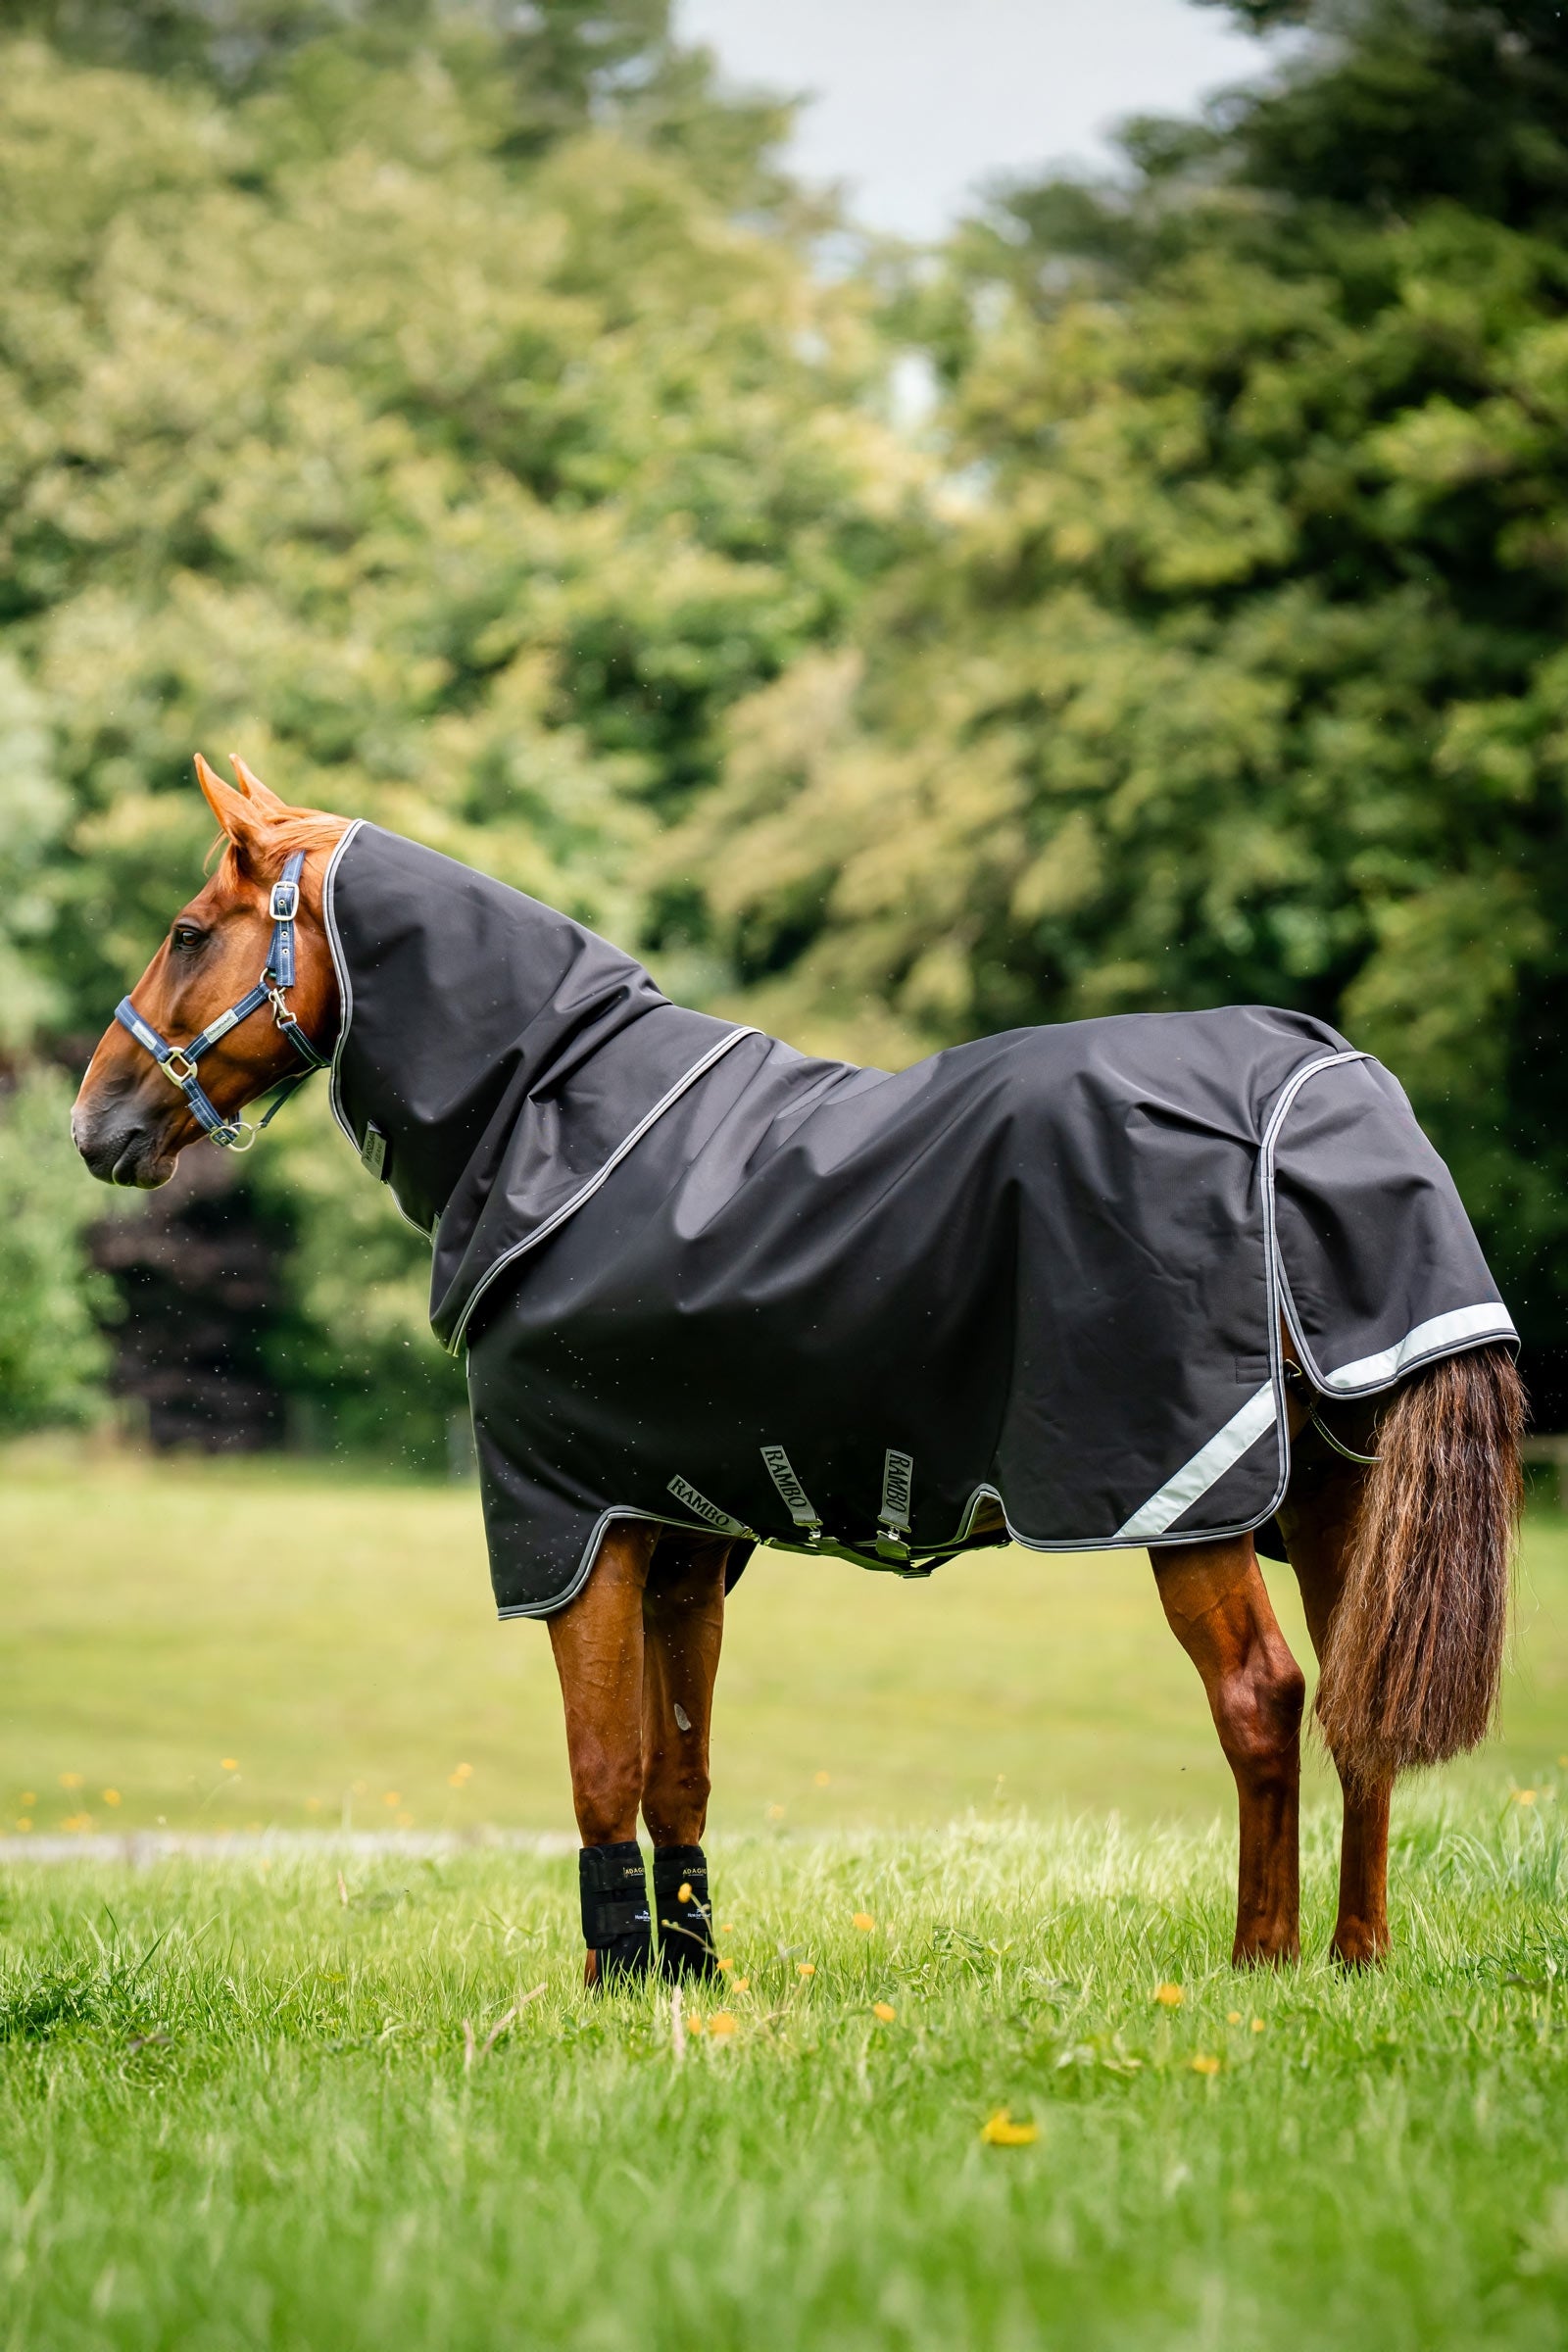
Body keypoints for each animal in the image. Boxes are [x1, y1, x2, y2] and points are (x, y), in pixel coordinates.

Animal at [72, 754, 1525, 1978]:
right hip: (1333, 1494)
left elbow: (598, 1767)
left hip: (1183, 1496)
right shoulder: (682, 1540)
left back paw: (1258, 1965)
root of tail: (1324, 1084)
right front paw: (687, 1975)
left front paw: (608, 1986)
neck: (552, 1117)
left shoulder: (571, 1529)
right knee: (1362, 1702)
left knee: (1264, 1698)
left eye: (188, 931)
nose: (96, 1122)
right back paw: (1354, 1959)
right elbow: (678, 1773)